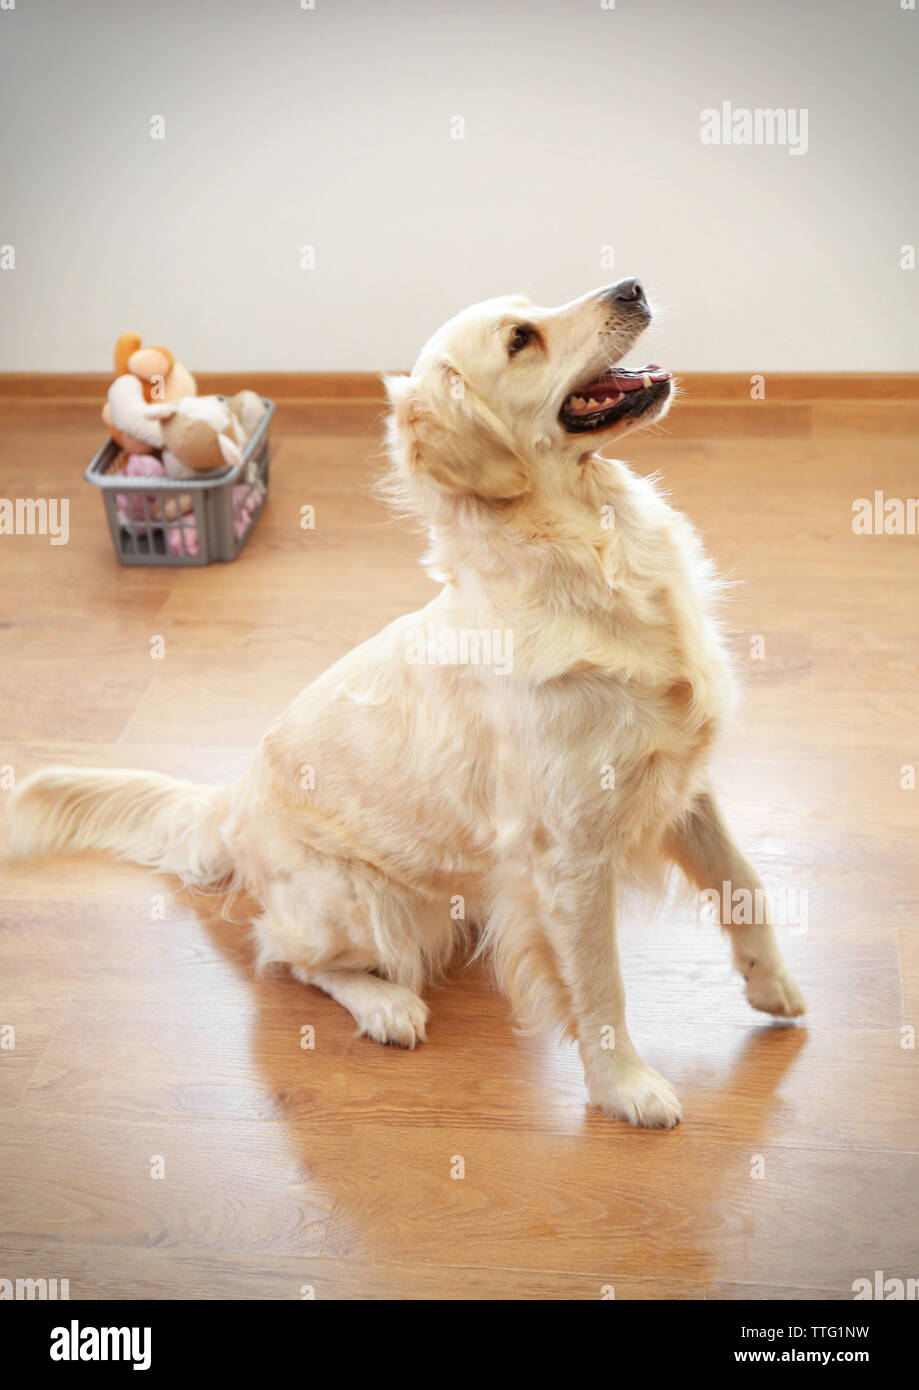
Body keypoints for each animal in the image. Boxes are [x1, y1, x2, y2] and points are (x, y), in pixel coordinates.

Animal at [7, 282, 800, 1128]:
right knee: (284, 954)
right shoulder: (572, 853)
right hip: (364, 904)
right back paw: (386, 1007)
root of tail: (228, 804)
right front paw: (625, 1088)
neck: (591, 548)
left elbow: (745, 882)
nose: (633, 287)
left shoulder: (683, 778)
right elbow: (599, 983)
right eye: (520, 339)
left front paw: (771, 983)